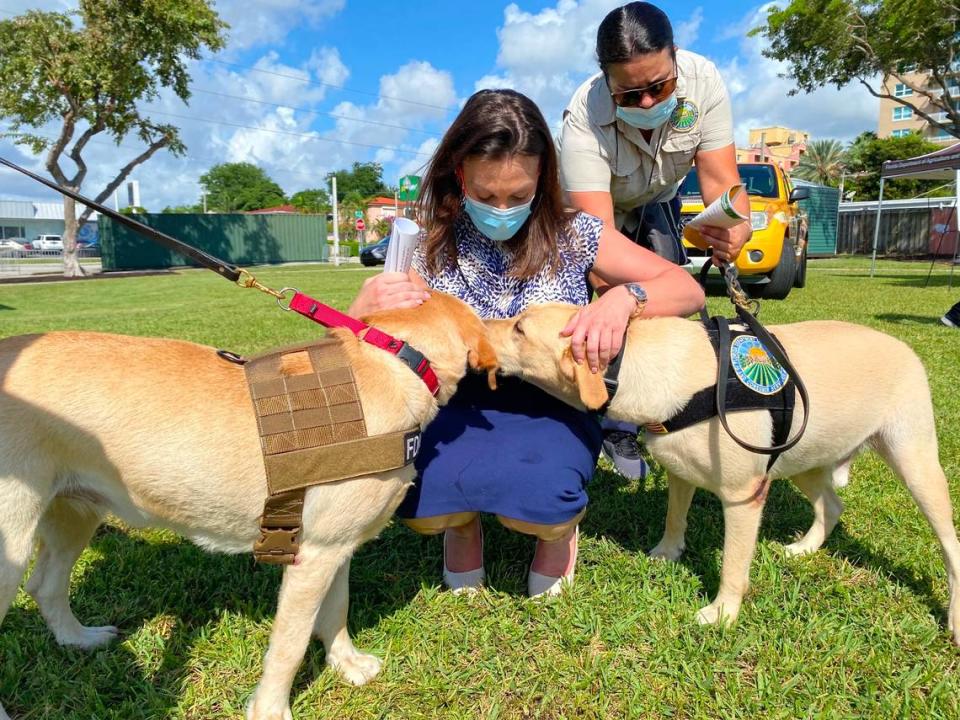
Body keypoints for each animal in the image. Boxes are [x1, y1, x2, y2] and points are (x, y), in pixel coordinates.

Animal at [0, 292, 496, 720]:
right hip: (12, 542)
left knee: (44, 585)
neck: (397, 360)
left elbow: (336, 610)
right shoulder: (310, 558)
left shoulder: (335, 547)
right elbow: (290, 646)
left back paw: (78, 639)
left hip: (75, 510)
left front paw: (347, 664)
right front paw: (271, 710)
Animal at [488, 304, 960, 640]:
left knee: (949, 543)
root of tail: (902, 346)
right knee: (832, 504)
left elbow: (733, 564)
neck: (638, 364)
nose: (480, 322)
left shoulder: (744, 495)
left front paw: (722, 614)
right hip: (799, 457)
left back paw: (953, 618)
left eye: (520, 328)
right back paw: (805, 548)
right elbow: (674, 517)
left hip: (915, 462)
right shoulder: (680, 472)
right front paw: (667, 553)